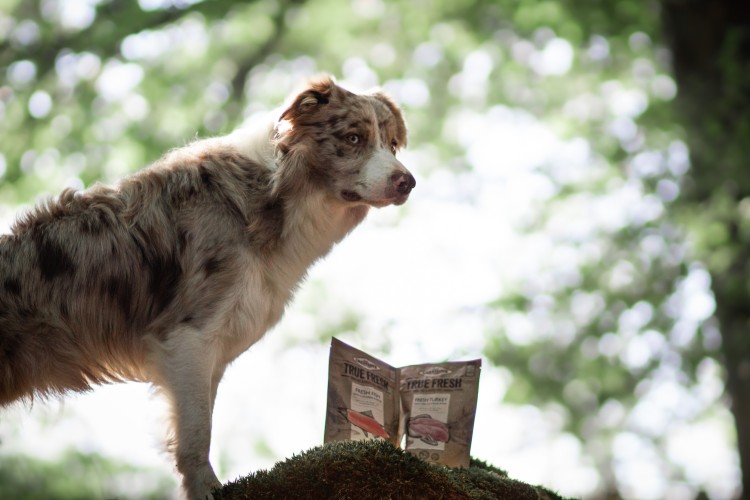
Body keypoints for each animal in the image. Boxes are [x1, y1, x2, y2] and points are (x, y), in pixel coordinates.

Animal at [0, 76, 418, 498]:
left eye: (392, 144)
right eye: (353, 138)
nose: (408, 182)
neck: (267, 196)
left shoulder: (208, 352)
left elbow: (201, 424)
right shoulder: (189, 338)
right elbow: (198, 432)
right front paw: (206, 488)